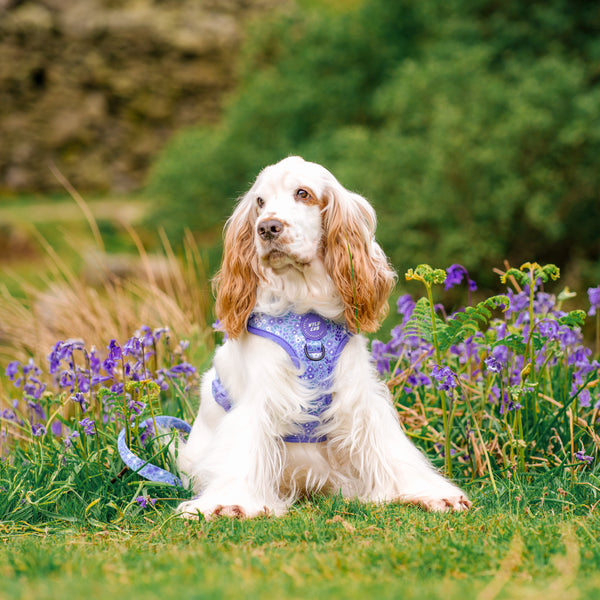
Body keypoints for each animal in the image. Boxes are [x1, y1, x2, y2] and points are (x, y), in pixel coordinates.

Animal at [176, 157, 472, 516]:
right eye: (260, 202)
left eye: (303, 193)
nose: (267, 227)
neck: (307, 314)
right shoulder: (259, 398)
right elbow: (244, 452)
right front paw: (229, 502)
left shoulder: (358, 396)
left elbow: (391, 451)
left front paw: (430, 492)